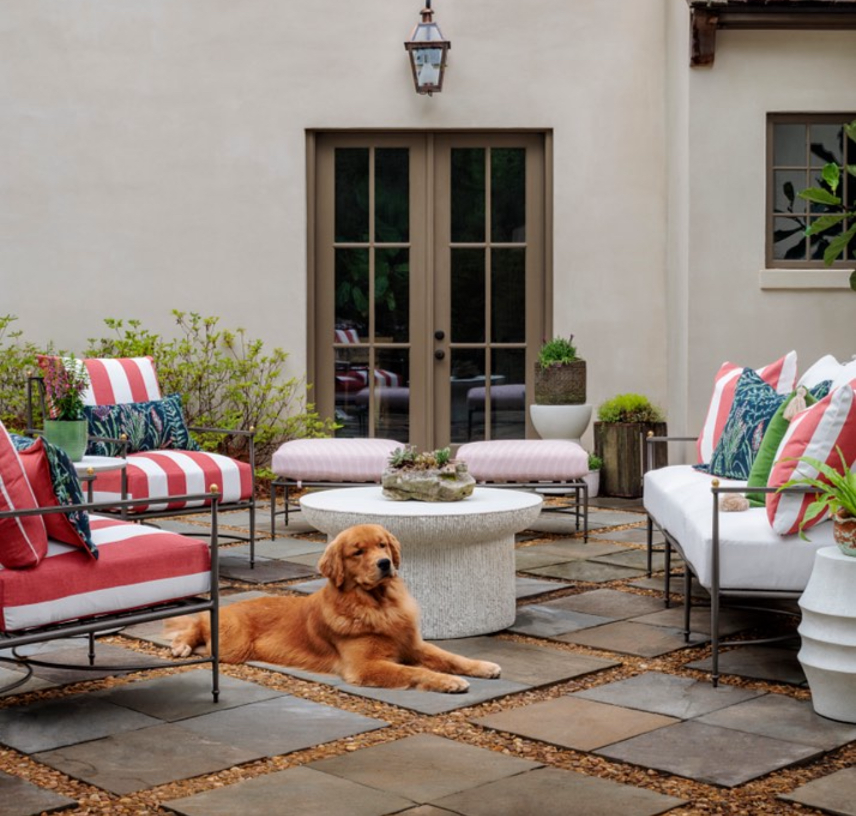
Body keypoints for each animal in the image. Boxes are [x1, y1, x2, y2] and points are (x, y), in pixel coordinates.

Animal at [166, 524, 502, 692]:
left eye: (382, 545)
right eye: (358, 552)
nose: (385, 563)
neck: (379, 604)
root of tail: (234, 606)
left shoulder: (413, 644)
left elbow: (451, 657)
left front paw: (482, 666)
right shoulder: (365, 665)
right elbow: (415, 671)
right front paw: (449, 682)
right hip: (233, 646)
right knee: (199, 623)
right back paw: (181, 644)